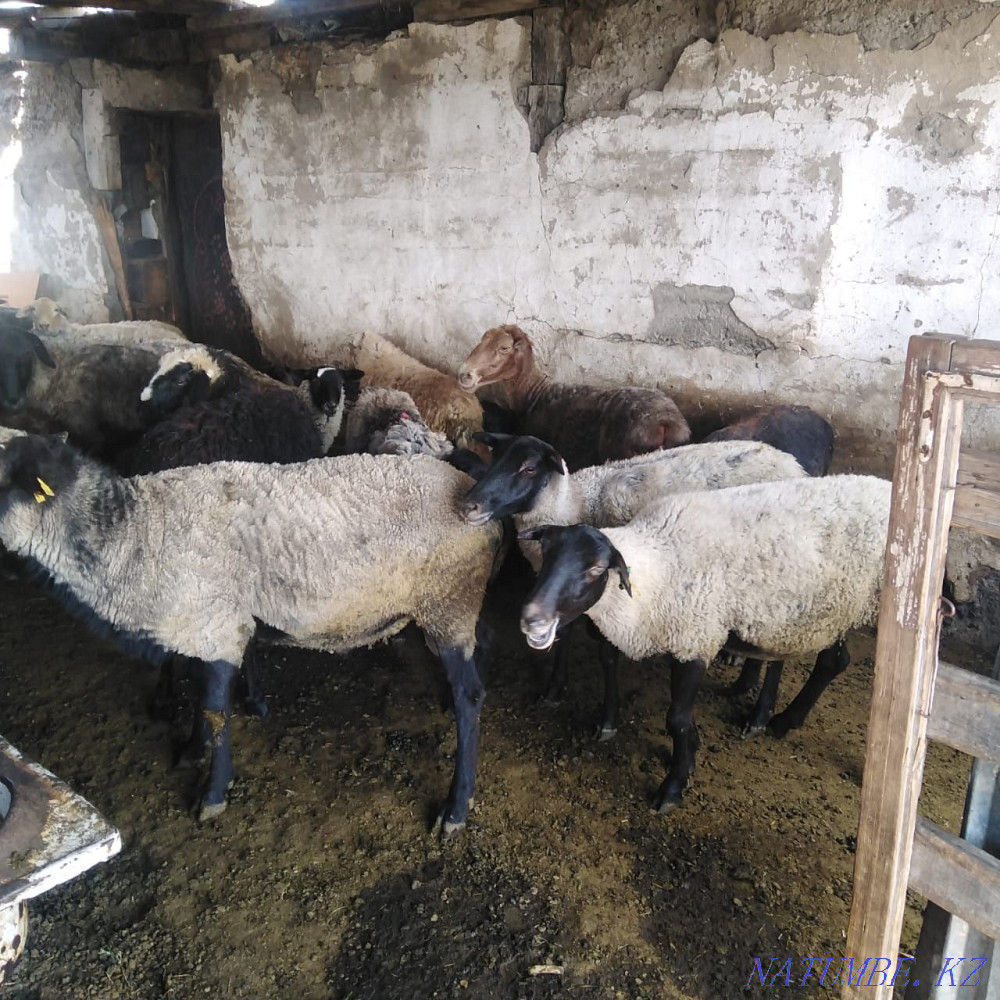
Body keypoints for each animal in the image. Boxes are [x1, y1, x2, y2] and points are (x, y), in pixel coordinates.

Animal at [0, 433, 503, 835]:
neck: (136, 535)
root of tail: (480, 503)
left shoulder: (220, 627)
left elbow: (215, 708)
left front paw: (212, 793)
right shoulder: (204, 622)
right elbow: (200, 691)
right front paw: (192, 748)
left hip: (448, 602)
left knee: (471, 697)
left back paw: (455, 809)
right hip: (450, 609)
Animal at [461, 433, 809, 737]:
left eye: (529, 468)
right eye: (494, 457)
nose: (469, 506)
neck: (576, 502)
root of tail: (791, 462)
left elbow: (607, 655)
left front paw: (607, 722)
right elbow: (564, 638)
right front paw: (554, 689)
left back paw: (758, 713)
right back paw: (744, 683)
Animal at [517, 473, 891, 811]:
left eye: (596, 568)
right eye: (545, 556)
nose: (531, 618)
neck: (658, 567)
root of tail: (886, 487)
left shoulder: (695, 639)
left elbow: (678, 721)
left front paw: (673, 787)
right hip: (832, 608)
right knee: (832, 661)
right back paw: (785, 720)